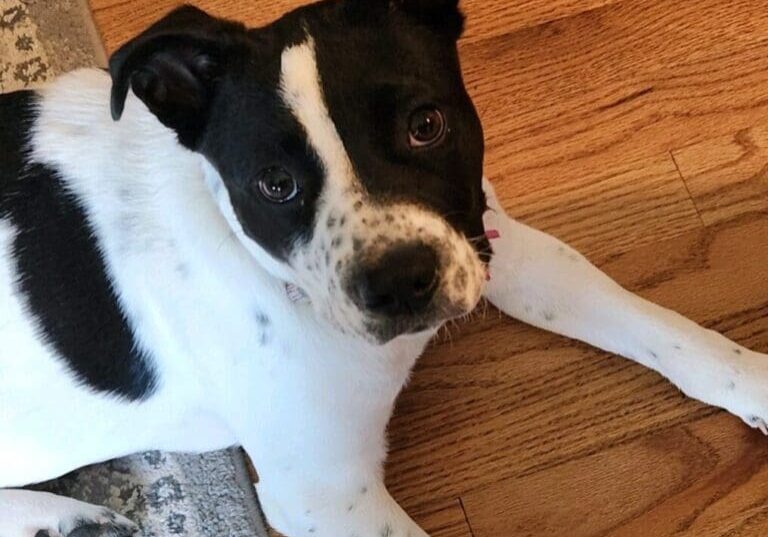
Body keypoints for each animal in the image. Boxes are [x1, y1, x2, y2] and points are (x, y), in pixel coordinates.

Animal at [1, 1, 768, 536]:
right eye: (274, 184)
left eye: (424, 125)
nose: (401, 282)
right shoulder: (325, 495)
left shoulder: (488, 237)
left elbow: (666, 330)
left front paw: (755, 382)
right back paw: (58, 514)